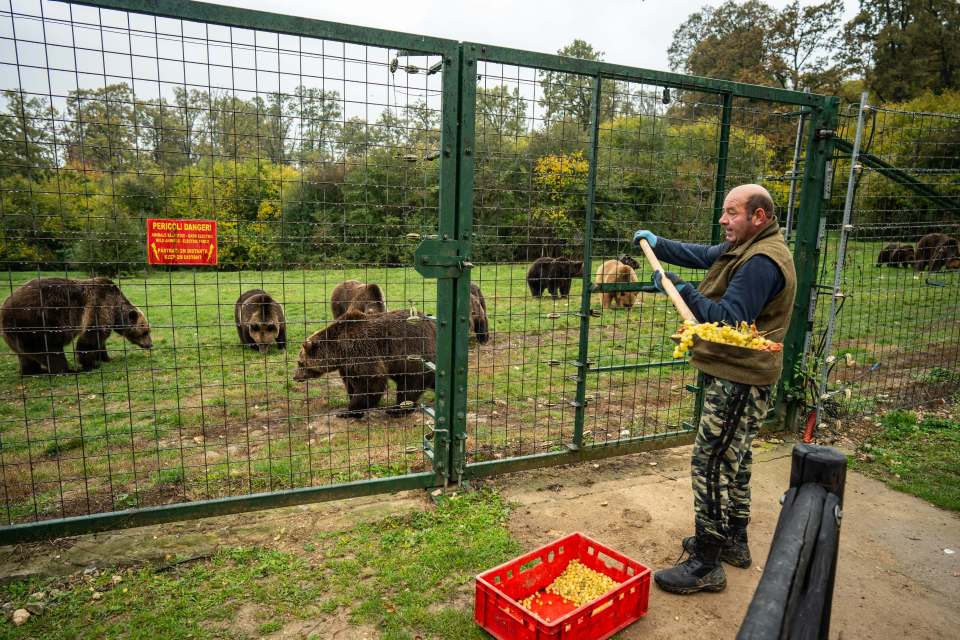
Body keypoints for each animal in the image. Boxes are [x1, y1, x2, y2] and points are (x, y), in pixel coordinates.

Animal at [0, 276, 152, 376]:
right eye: (145, 331)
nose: (150, 344)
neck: (115, 311)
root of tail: (3, 310)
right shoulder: (98, 306)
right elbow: (90, 339)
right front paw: (90, 364)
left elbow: (100, 342)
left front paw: (106, 358)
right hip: (35, 323)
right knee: (50, 351)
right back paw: (68, 370)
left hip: (18, 334)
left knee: (25, 356)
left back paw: (33, 371)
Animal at [292, 308, 436, 420]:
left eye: (300, 362)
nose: (295, 377)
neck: (339, 350)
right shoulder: (346, 365)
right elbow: (351, 383)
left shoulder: (360, 349)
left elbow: (371, 381)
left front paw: (348, 411)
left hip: (414, 353)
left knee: (410, 383)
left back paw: (396, 409)